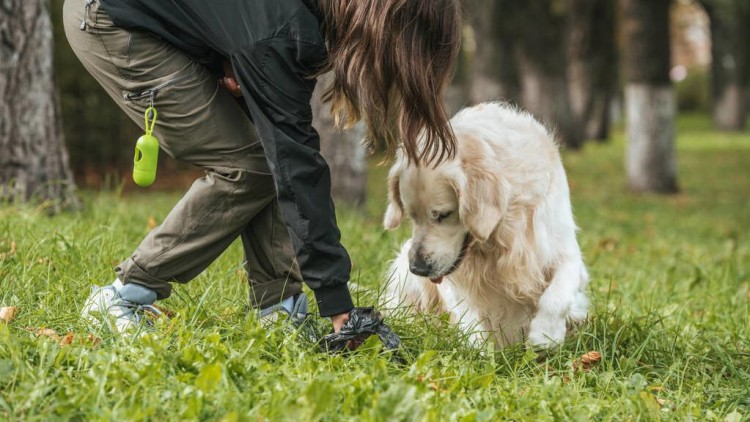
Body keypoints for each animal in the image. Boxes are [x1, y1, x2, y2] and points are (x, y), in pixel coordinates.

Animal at [384, 100, 592, 348]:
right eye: (412, 216)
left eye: (443, 215)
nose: (418, 268)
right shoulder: (455, 280)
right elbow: (469, 318)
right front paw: (478, 351)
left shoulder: (563, 249)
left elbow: (558, 294)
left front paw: (545, 334)